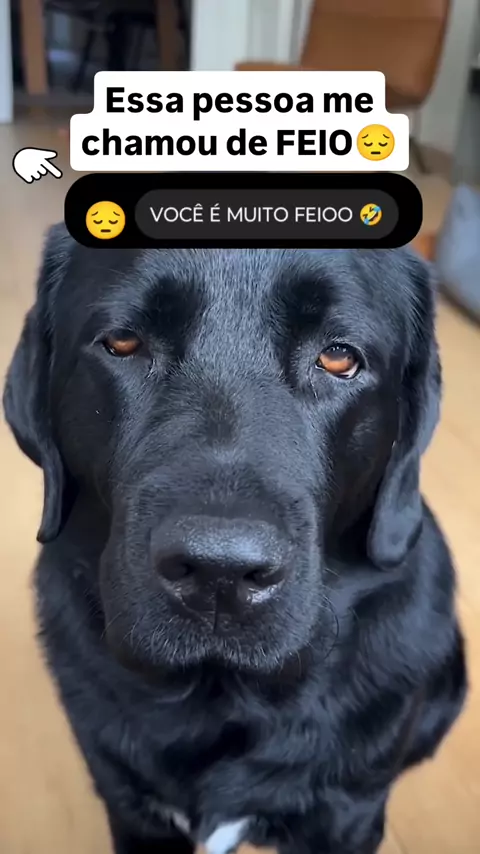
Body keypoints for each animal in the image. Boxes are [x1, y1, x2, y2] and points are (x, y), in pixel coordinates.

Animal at [4, 227, 467, 854]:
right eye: (122, 342)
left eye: (339, 357)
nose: (218, 572)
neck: (222, 696)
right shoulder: (130, 806)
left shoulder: (348, 815)